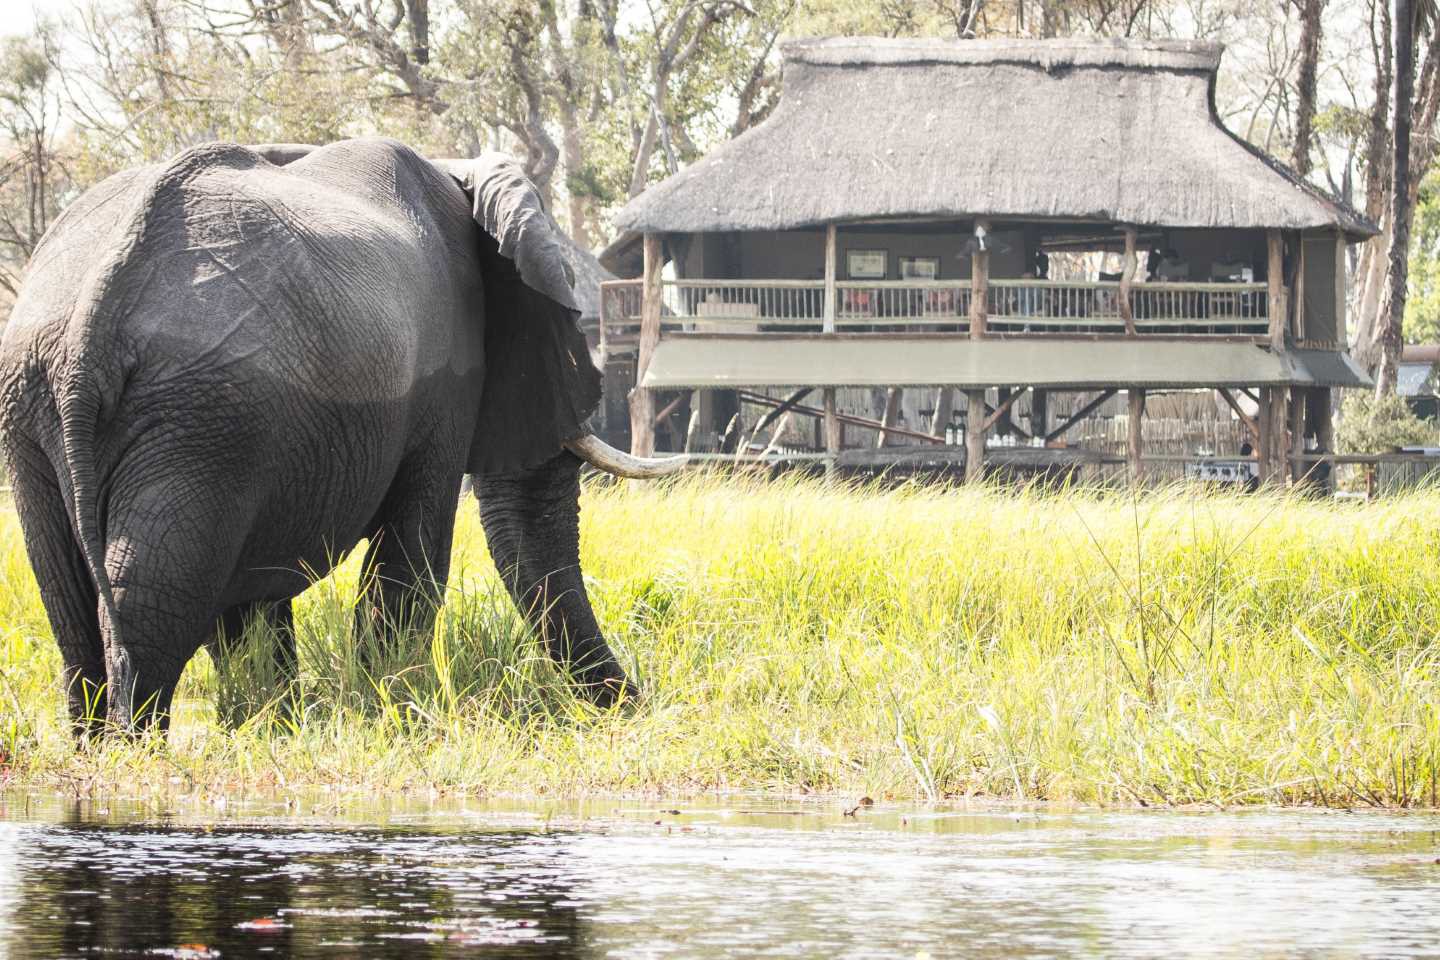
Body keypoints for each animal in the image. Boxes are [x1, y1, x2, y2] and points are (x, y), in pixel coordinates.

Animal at [0, 136, 682, 736]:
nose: (638, 706)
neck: (458, 166)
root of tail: (90, 318)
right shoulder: (444, 382)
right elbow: (412, 560)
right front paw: (394, 708)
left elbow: (259, 597)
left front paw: (273, 728)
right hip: (199, 417)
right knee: (147, 596)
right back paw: (134, 752)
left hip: (50, 411)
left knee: (72, 602)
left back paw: (100, 747)